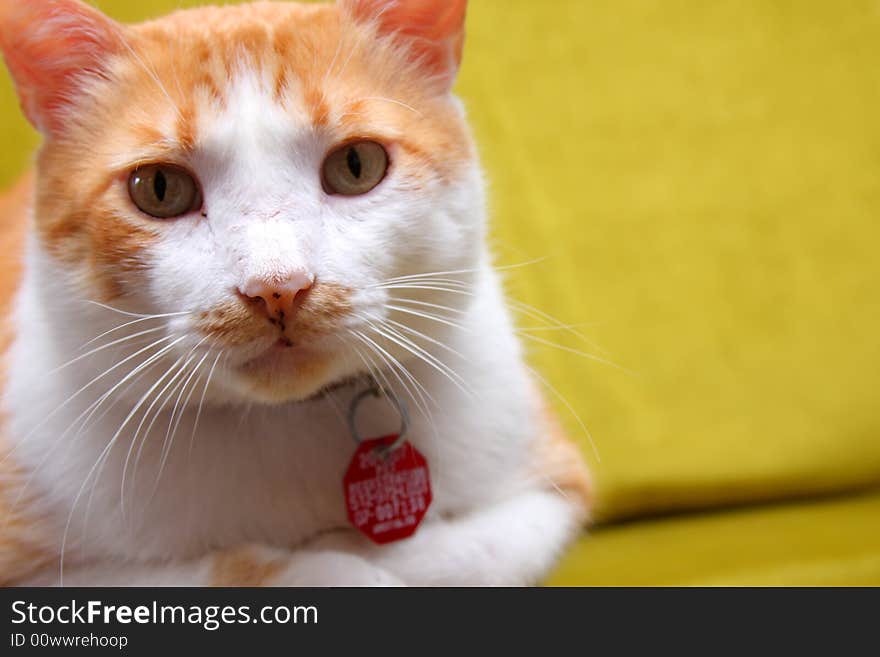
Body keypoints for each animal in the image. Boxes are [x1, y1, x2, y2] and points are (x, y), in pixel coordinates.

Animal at [0, 0, 592, 584]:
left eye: (357, 165)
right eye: (160, 189)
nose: (277, 287)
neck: (287, 418)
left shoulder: (550, 490)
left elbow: (468, 556)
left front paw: (366, 548)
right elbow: (255, 568)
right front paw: (341, 558)